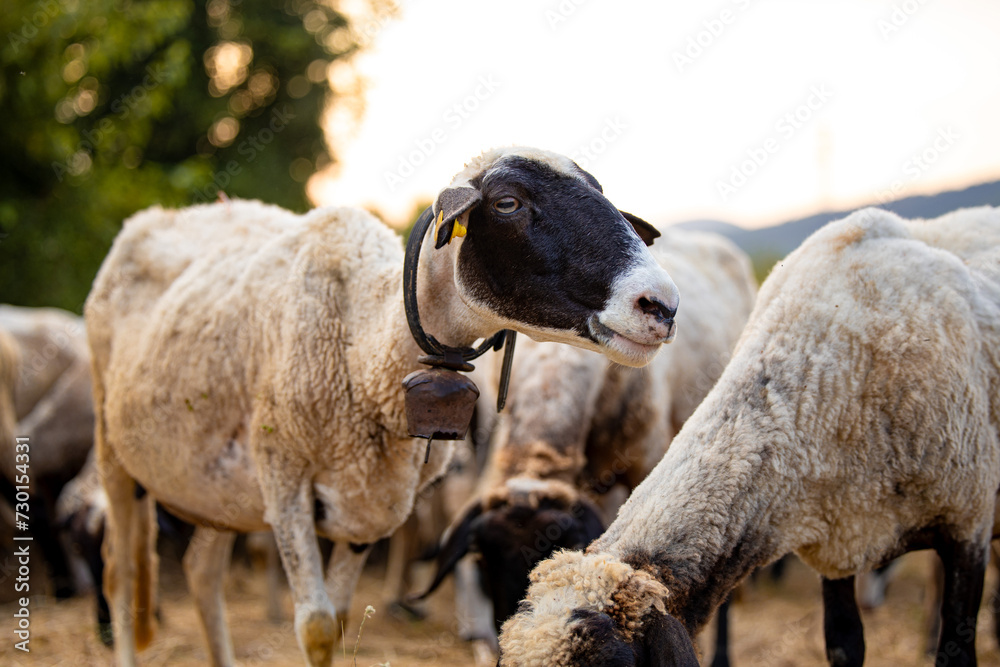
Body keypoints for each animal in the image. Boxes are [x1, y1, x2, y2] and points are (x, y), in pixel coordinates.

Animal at [84, 146, 682, 667]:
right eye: (508, 202)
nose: (661, 305)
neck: (363, 343)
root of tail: (159, 216)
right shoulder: (284, 485)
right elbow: (317, 628)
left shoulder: (371, 505)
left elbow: (339, 622)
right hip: (114, 452)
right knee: (120, 578)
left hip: (214, 487)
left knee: (202, 575)